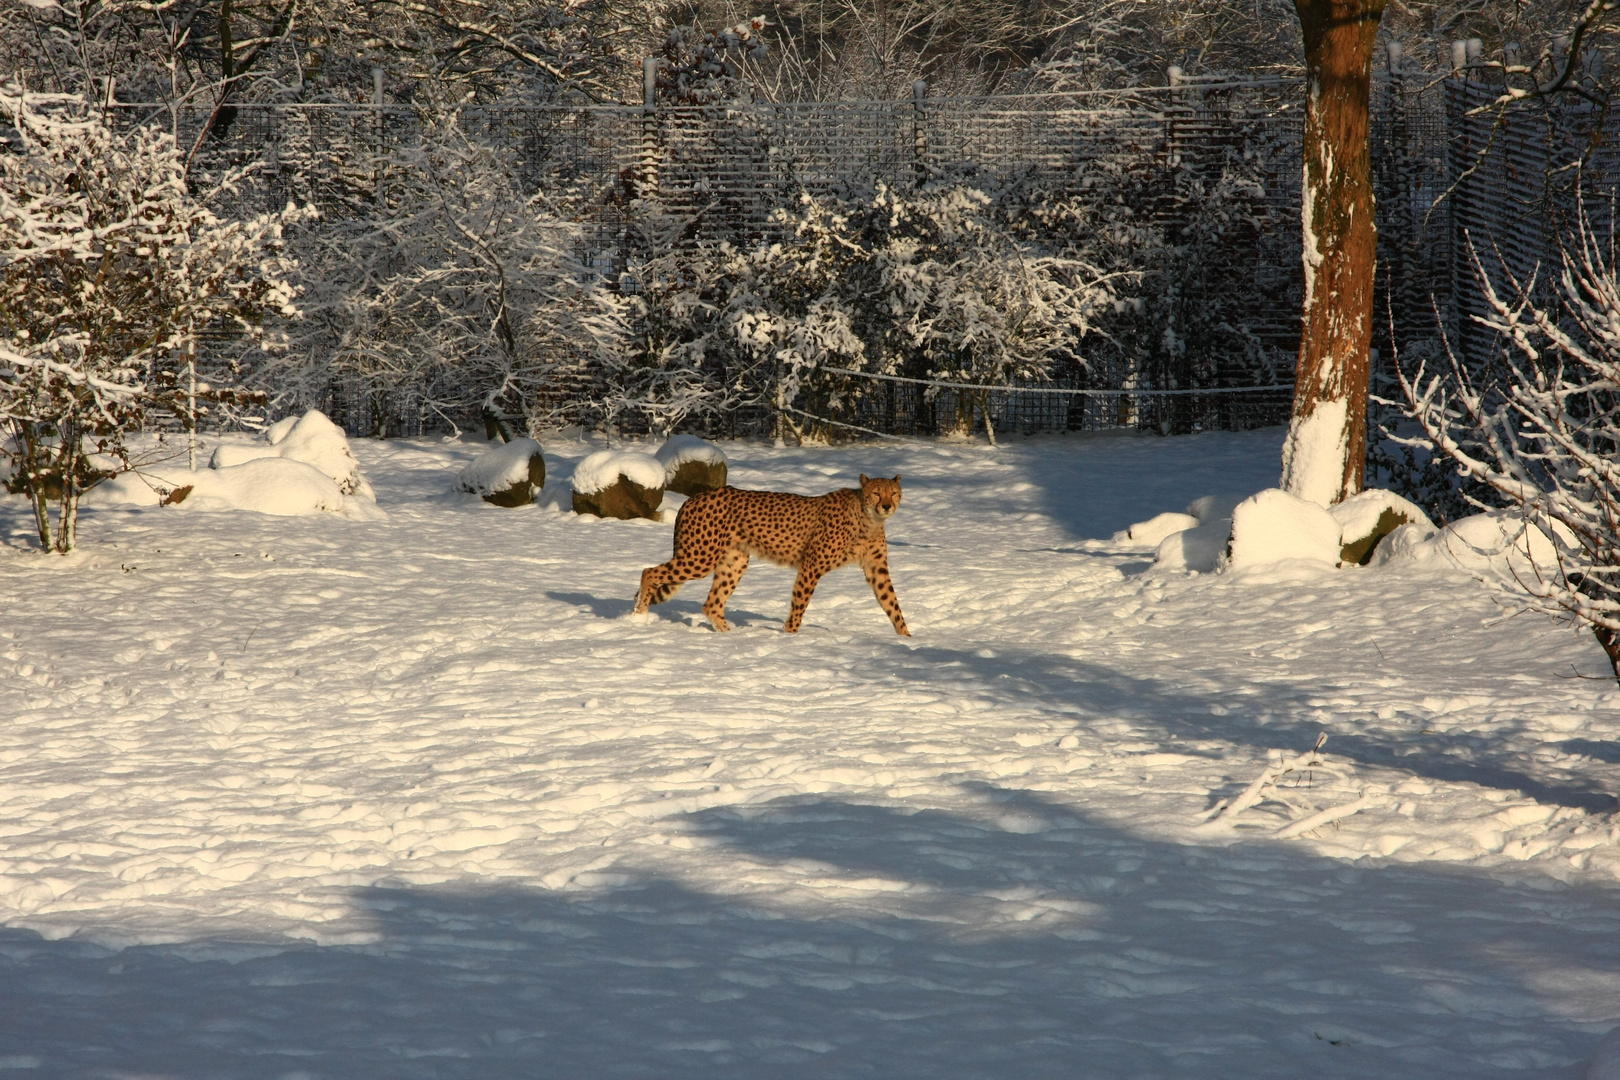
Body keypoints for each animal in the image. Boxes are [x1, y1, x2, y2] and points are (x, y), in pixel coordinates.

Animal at [631, 476, 913, 641]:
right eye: (876, 493)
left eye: (894, 492)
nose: (886, 505)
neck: (868, 518)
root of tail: (695, 497)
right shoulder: (811, 566)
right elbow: (800, 603)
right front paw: (790, 636)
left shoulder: (876, 569)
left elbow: (891, 603)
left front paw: (907, 638)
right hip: (700, 556)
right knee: (648, 572)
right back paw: (639, 616)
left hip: (734, 562)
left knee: (711, 604)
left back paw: (728, 636)